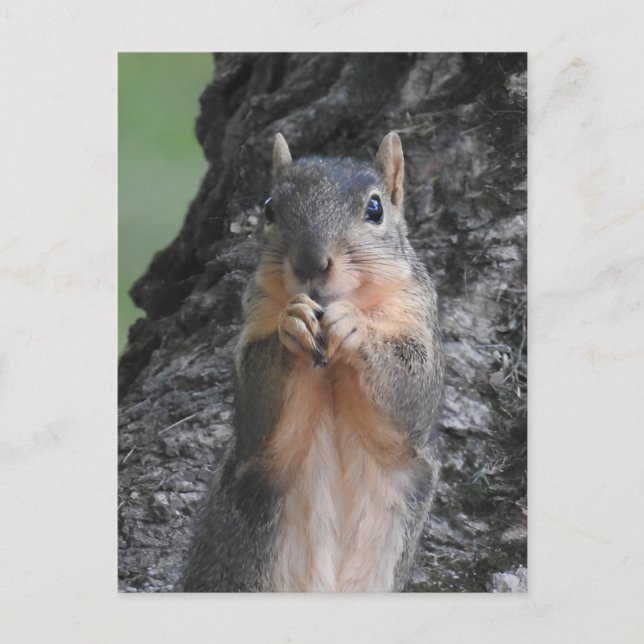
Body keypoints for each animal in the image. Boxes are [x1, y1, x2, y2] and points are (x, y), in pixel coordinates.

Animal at [178, 132, 444, 592]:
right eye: (269, 207)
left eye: (375, 209)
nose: (309, 264)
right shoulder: (256, 319)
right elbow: (255, 404)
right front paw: (293, 322)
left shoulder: (418, 319)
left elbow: (414, 396)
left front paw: (354, 324)